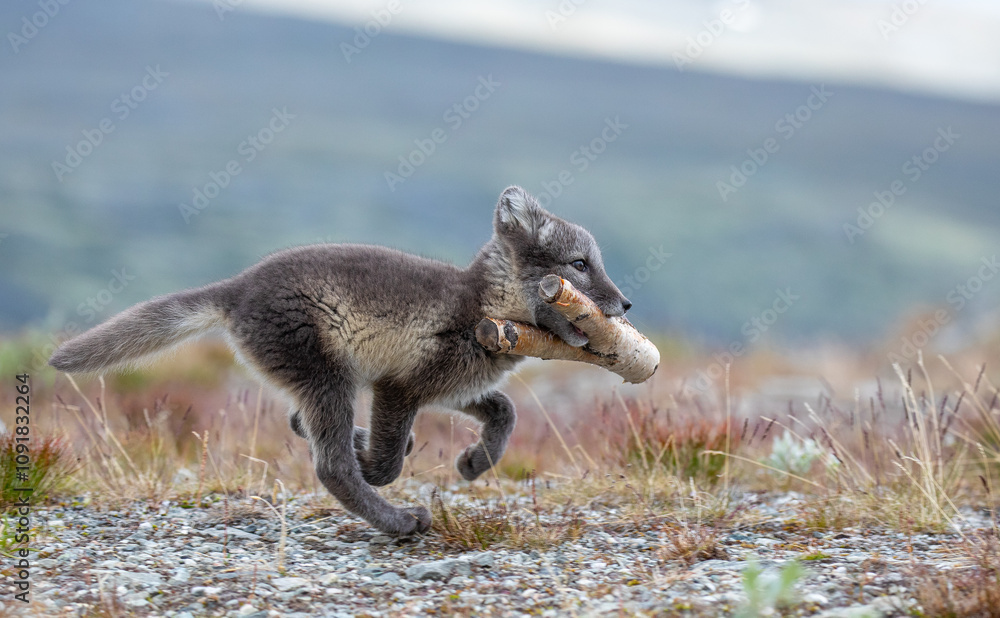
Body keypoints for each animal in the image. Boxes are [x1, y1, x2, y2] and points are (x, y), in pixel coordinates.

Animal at [49, 186, 631, 536]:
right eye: (580, 265)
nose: (626, 305)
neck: (481, 308)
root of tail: (238, 287)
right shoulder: (399, 387)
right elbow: (387, 461)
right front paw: (378, 460)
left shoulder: (448, 388)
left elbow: (505, 412)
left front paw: (474, 462)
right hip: (329, 376)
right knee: (331, 467)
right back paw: (396, 520)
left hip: (330, 381)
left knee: (304, 427)